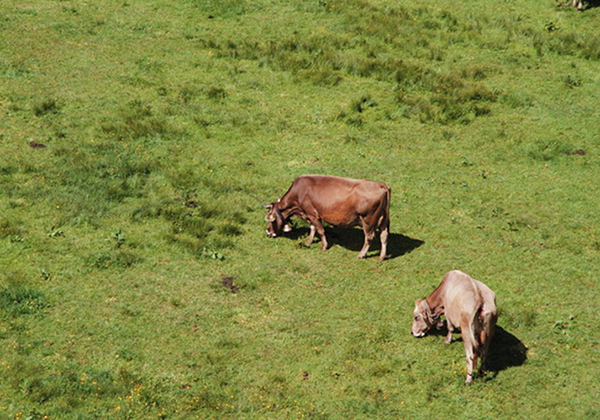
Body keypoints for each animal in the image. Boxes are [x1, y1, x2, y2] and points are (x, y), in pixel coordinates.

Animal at [264, 175, 392, 260]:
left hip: (368, 220)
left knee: (369, 237)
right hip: (384, 220)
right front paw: (309, 240)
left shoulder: (312, 213)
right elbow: (313, 227)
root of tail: (381, 185)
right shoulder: (311, 214)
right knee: (384, 236)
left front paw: (324, 246)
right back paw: (382, 256)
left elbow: (320, 230)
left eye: (271, 219)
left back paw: (361, 254)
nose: (268, 232)